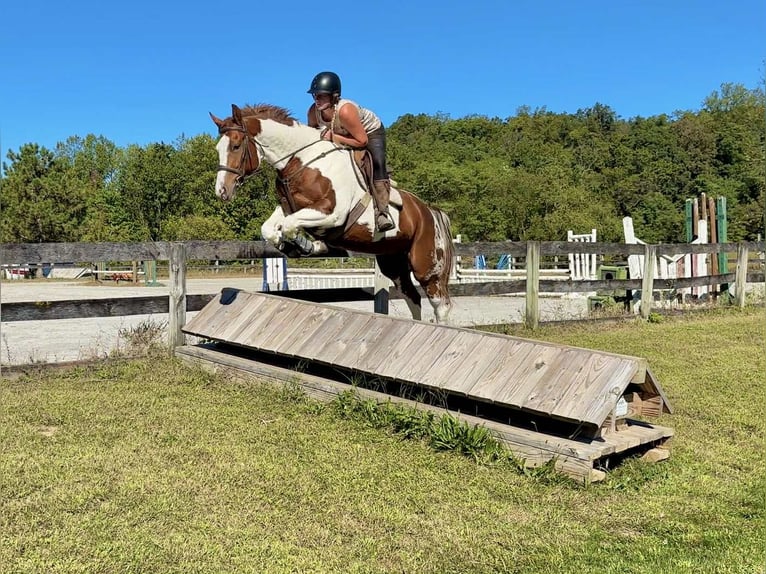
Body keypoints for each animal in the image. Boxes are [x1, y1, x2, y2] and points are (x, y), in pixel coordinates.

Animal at [209, 103, 454, 324]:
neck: (300, 162)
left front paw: (306, 245)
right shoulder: (289, 208)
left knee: (439, 303)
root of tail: (428, 210)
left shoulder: (332, 213)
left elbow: (290, 225)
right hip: (392, 262)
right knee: (412, 297)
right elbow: (269, 228)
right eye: (218, 149)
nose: (222, 191)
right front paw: (291, 245)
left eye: (236, 146)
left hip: (426, 265)